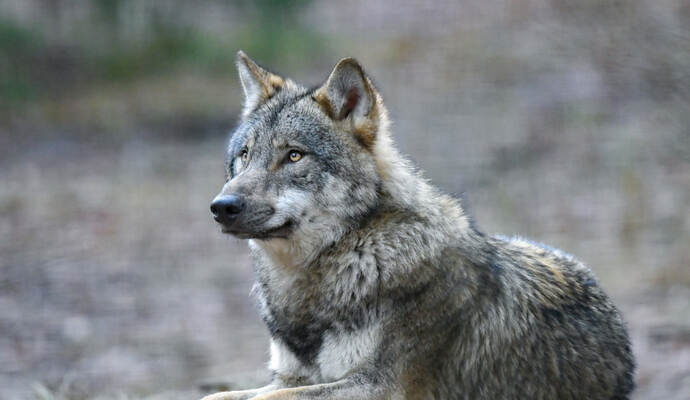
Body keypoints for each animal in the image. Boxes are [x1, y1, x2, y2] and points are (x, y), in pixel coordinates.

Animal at [204, 51, 635, 400]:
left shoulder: (379, 385)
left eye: (294, 155)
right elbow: (220, 395)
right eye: (244, 155)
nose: (222, 207)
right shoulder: (289, 378)